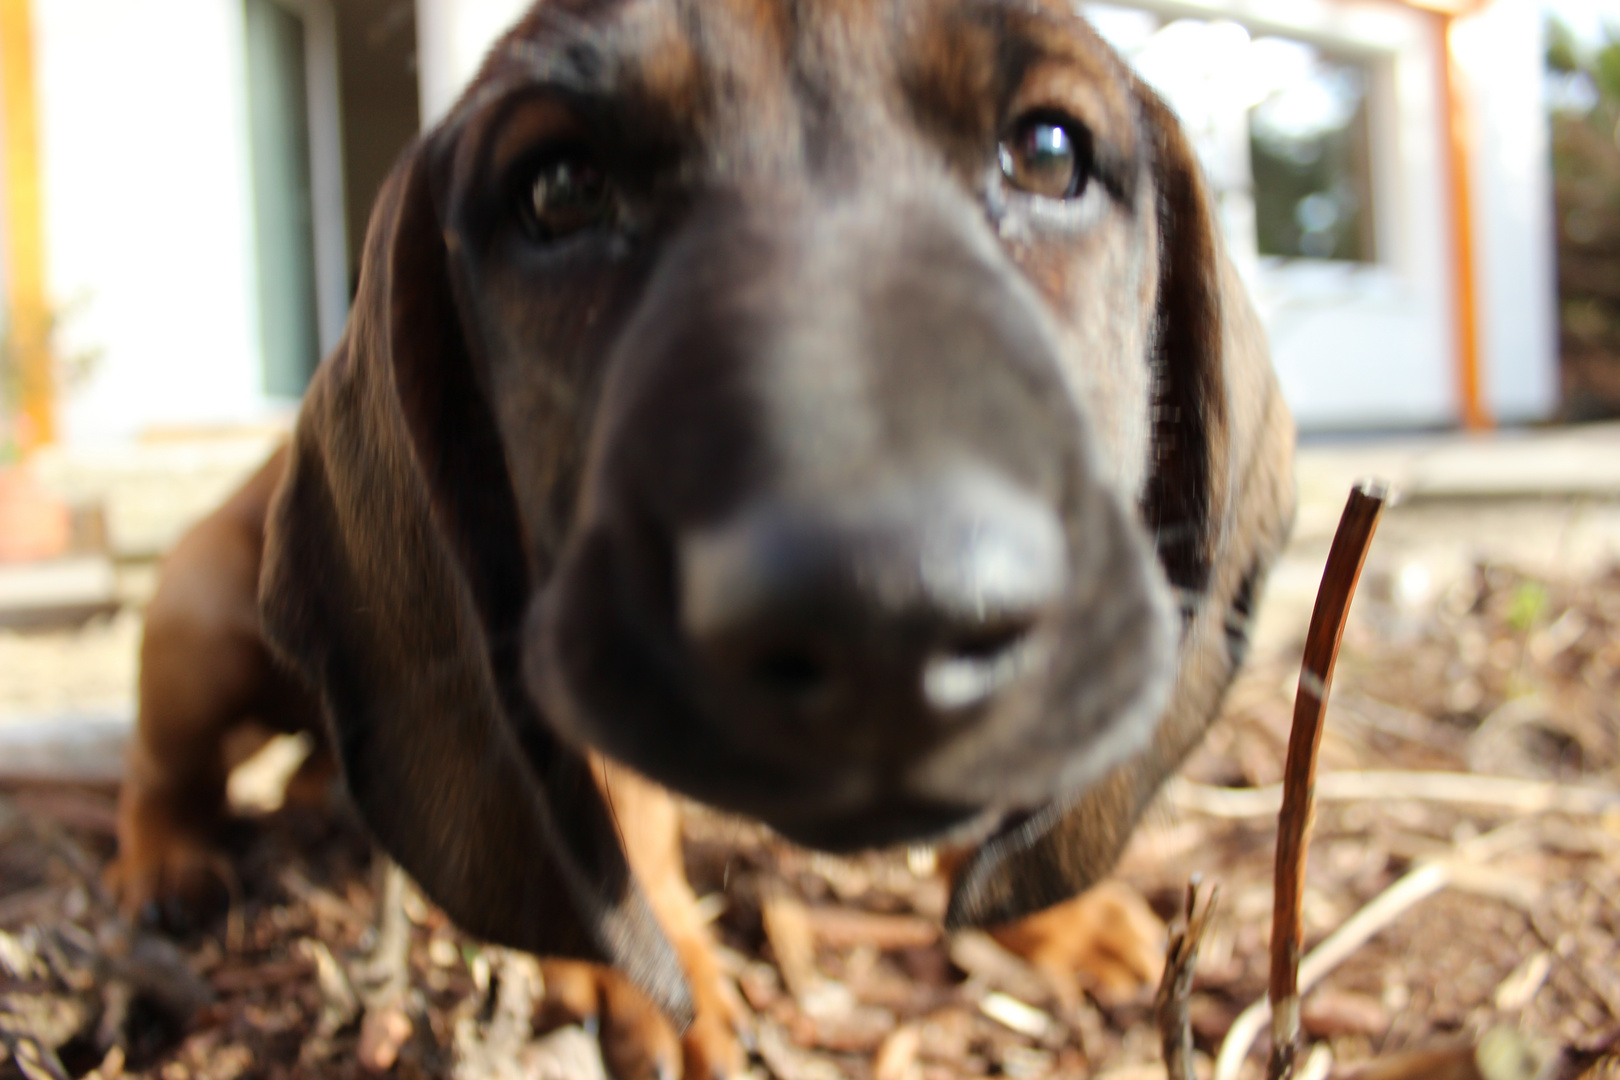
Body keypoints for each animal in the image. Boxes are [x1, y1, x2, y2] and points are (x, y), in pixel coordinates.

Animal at [117, 4, 1302, 1075]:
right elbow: (617, 816)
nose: (890, 613)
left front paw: (1051, 915)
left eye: (1051, 154)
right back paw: (167, 864)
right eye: (559, 189)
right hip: (196, 626)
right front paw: (651, 979)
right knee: (164, 772)